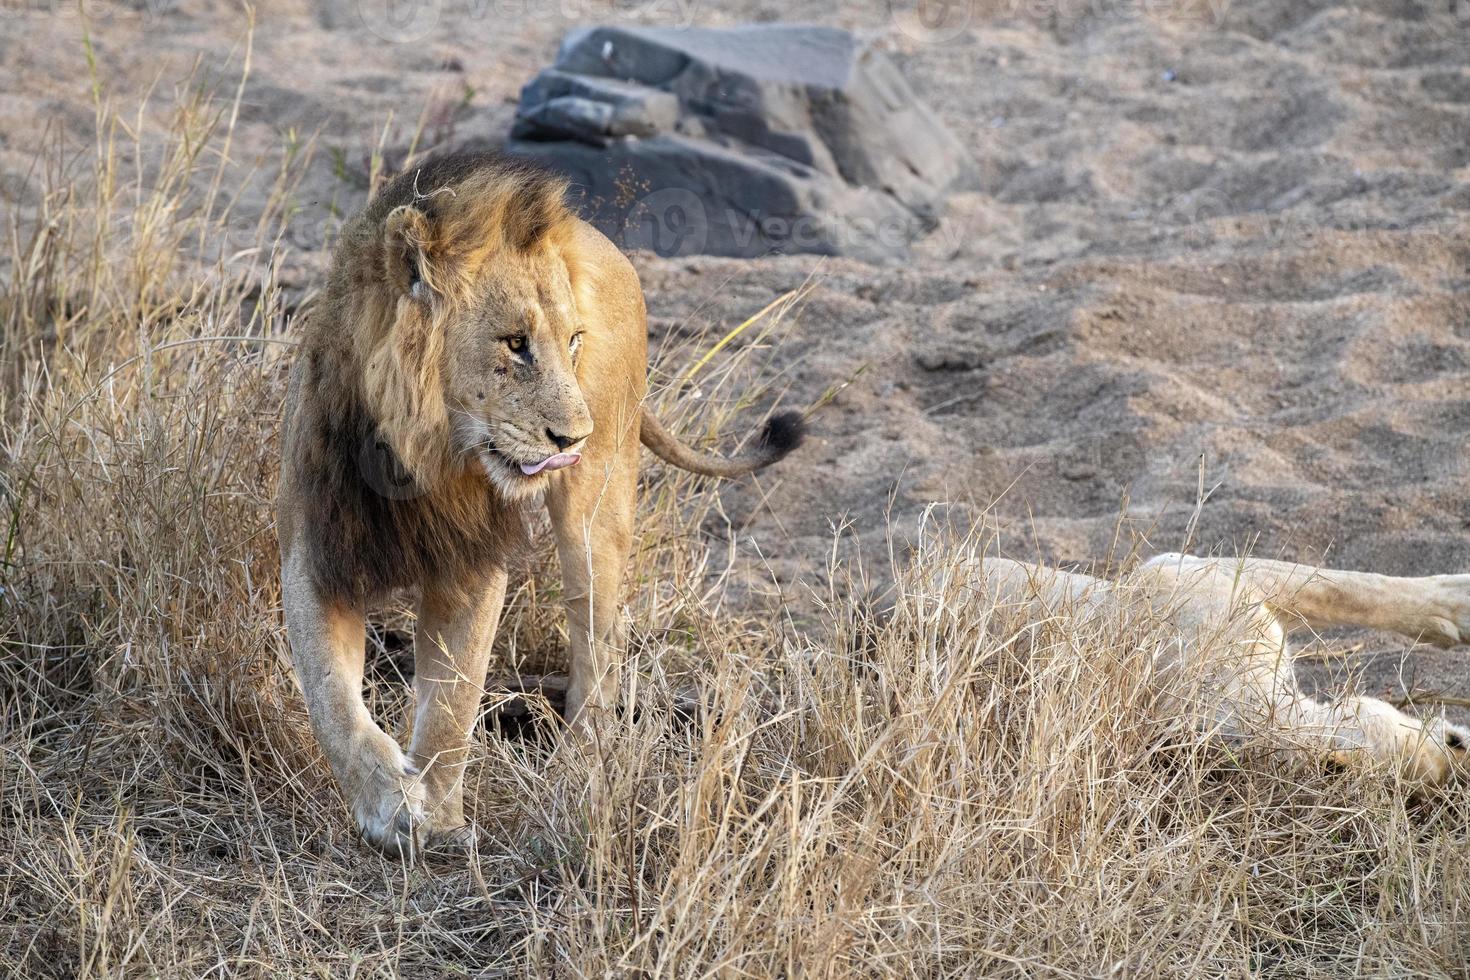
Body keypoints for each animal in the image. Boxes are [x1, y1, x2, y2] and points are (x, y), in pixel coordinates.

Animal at [276, 151, 805, 852]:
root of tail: (595, 236)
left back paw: (579, 770)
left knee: (600, 640)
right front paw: (390, 801)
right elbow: (332, 701)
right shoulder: (317, 549)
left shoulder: (471, 563)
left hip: (598, 501)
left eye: (572, 340)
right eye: (514, 343)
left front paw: (436, 816)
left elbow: (452, 704)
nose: (572, 437)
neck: (421, 459)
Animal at [958, 552, 1470, 787]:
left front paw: (1458, 605)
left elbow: (1343, 588)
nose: (1460, 741)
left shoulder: (1199, 570)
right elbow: (1345, 589)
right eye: (1453, 743)